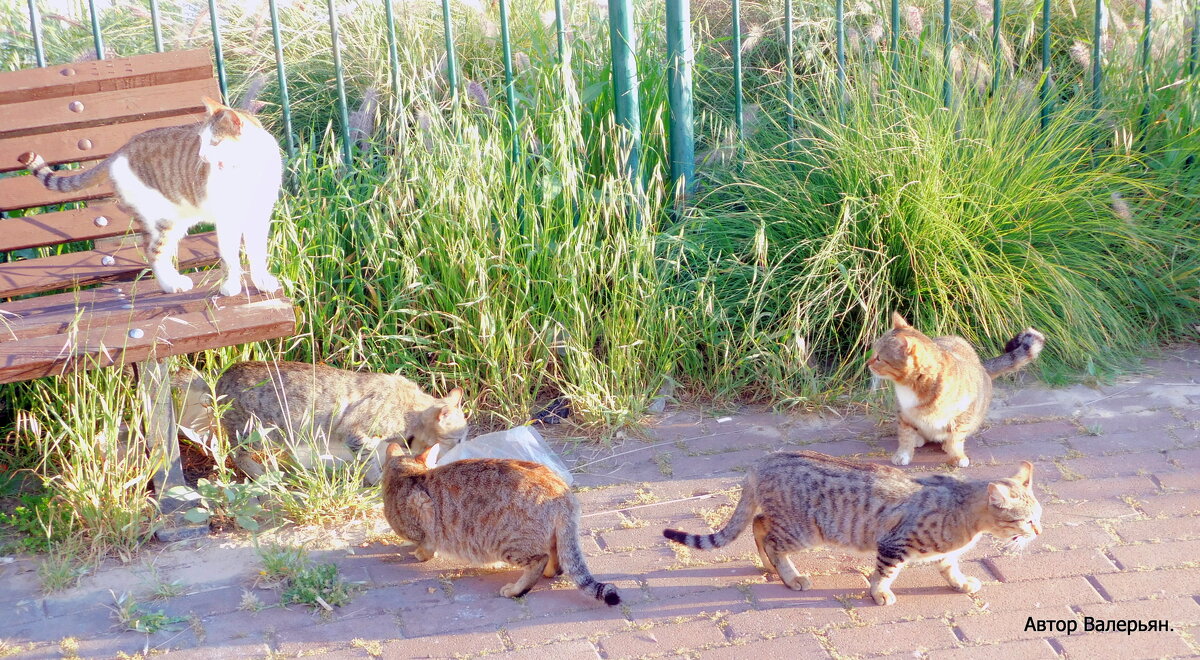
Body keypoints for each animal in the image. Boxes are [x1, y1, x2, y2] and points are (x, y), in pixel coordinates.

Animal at [19, 97, 283, 296]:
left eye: (215, 143)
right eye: (201, 141)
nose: (201, 156)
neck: (246, 170)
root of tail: (121, 150)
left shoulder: (258, 215)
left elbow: (258, 253)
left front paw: (262, 282)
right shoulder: (227, 219)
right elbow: (229, 256)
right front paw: (231, 287)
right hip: (163, 220)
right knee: (153, 252)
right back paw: (171, 284)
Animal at [384, 441, 624, 607]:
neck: (409, 476)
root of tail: (562, 492)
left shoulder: (423, 518)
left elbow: (426, 544)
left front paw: (418, 553)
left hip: (506, 544)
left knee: (539, 559)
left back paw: (516, 589)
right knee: (556, 556)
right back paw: (550, 572)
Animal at [667, 453, 1041, 607]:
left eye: (1039, 515)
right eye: (1025, 520)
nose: (1038, 532)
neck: (962, 508)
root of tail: (763, 460)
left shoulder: (944, 553)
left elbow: (950, 567)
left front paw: (961, 584)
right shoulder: (893, 544)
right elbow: (884, 574)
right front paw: (879, 594)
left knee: (759, 524)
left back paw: (769, 567)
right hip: (804, 530)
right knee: (768, 535)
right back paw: (790, 576)